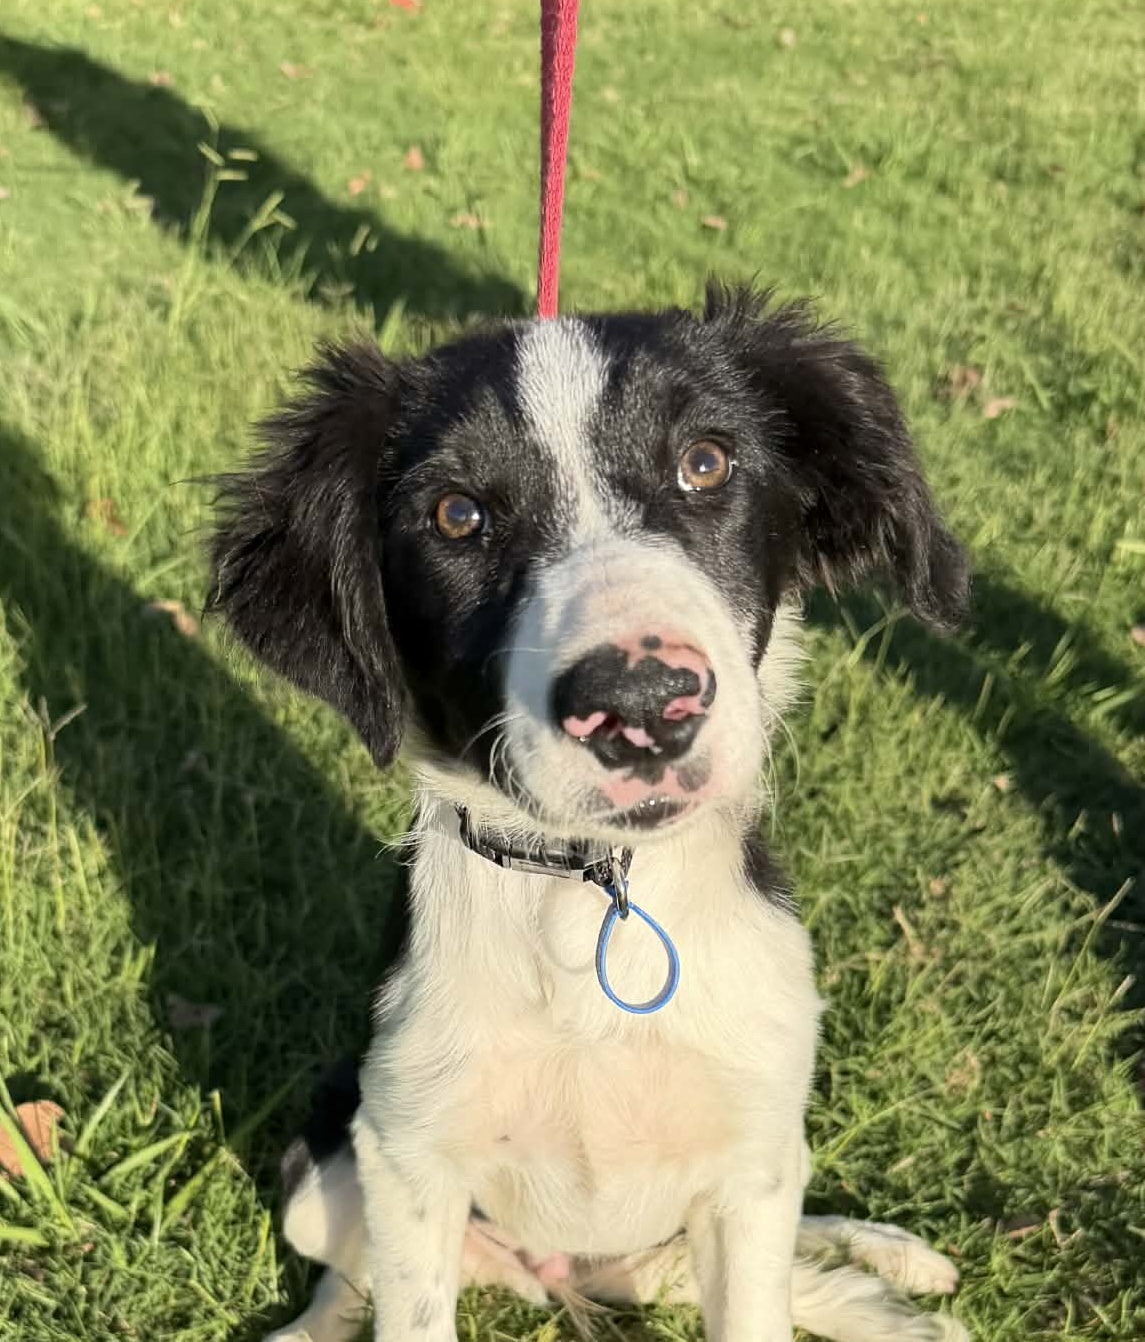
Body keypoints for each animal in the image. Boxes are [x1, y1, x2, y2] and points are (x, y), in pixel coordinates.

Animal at [209, 284, 971, 1342]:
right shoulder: (407, 1153)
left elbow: (760, 1292)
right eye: (456, 514)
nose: (644, 705)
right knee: (344, 1274)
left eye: (706, 462)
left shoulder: (749, 1163)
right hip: (324, 1174)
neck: (590, 891)